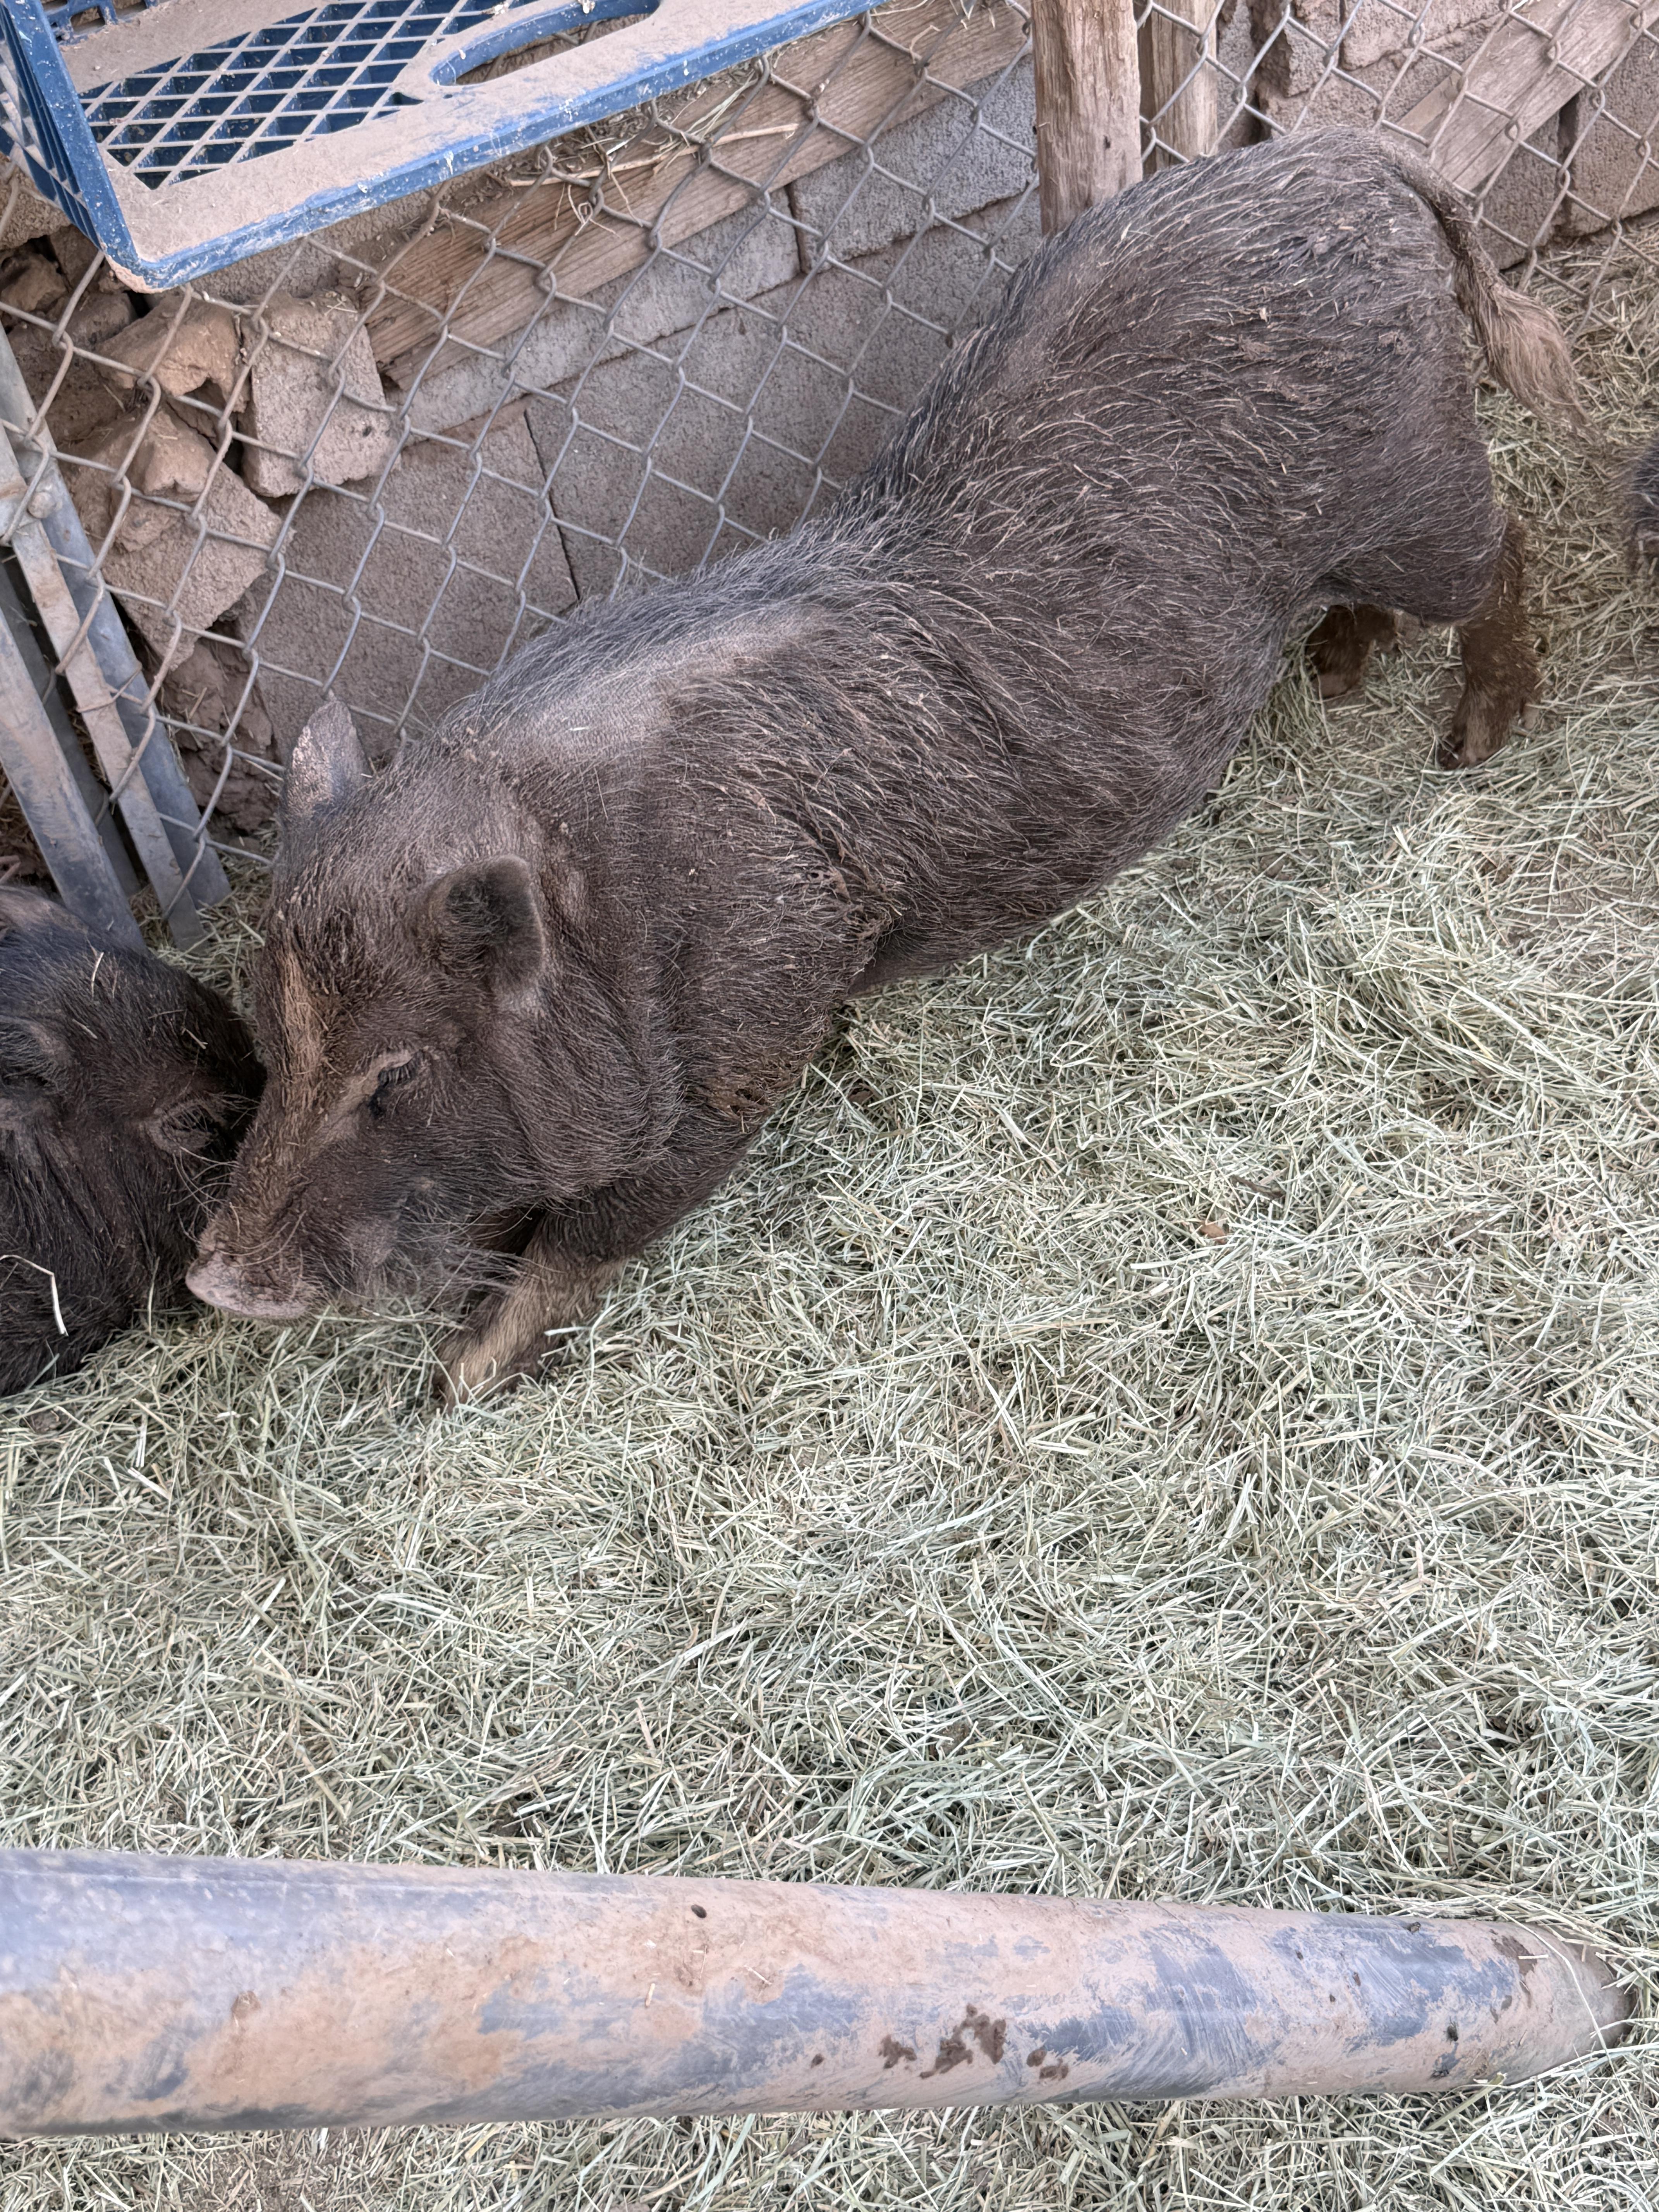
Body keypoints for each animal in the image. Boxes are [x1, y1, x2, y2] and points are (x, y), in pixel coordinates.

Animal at [189, 128, 1581, 1398]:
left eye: (396, 1076)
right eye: (269, 1038)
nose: (214, 1278)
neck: (602, 899)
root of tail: (1350, 150)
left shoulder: (750, 1040)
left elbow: (595, 1227)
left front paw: (459, 1378)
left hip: (1420, 485)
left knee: (1507, 543)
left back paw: (1469, 744)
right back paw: (1338, 677)